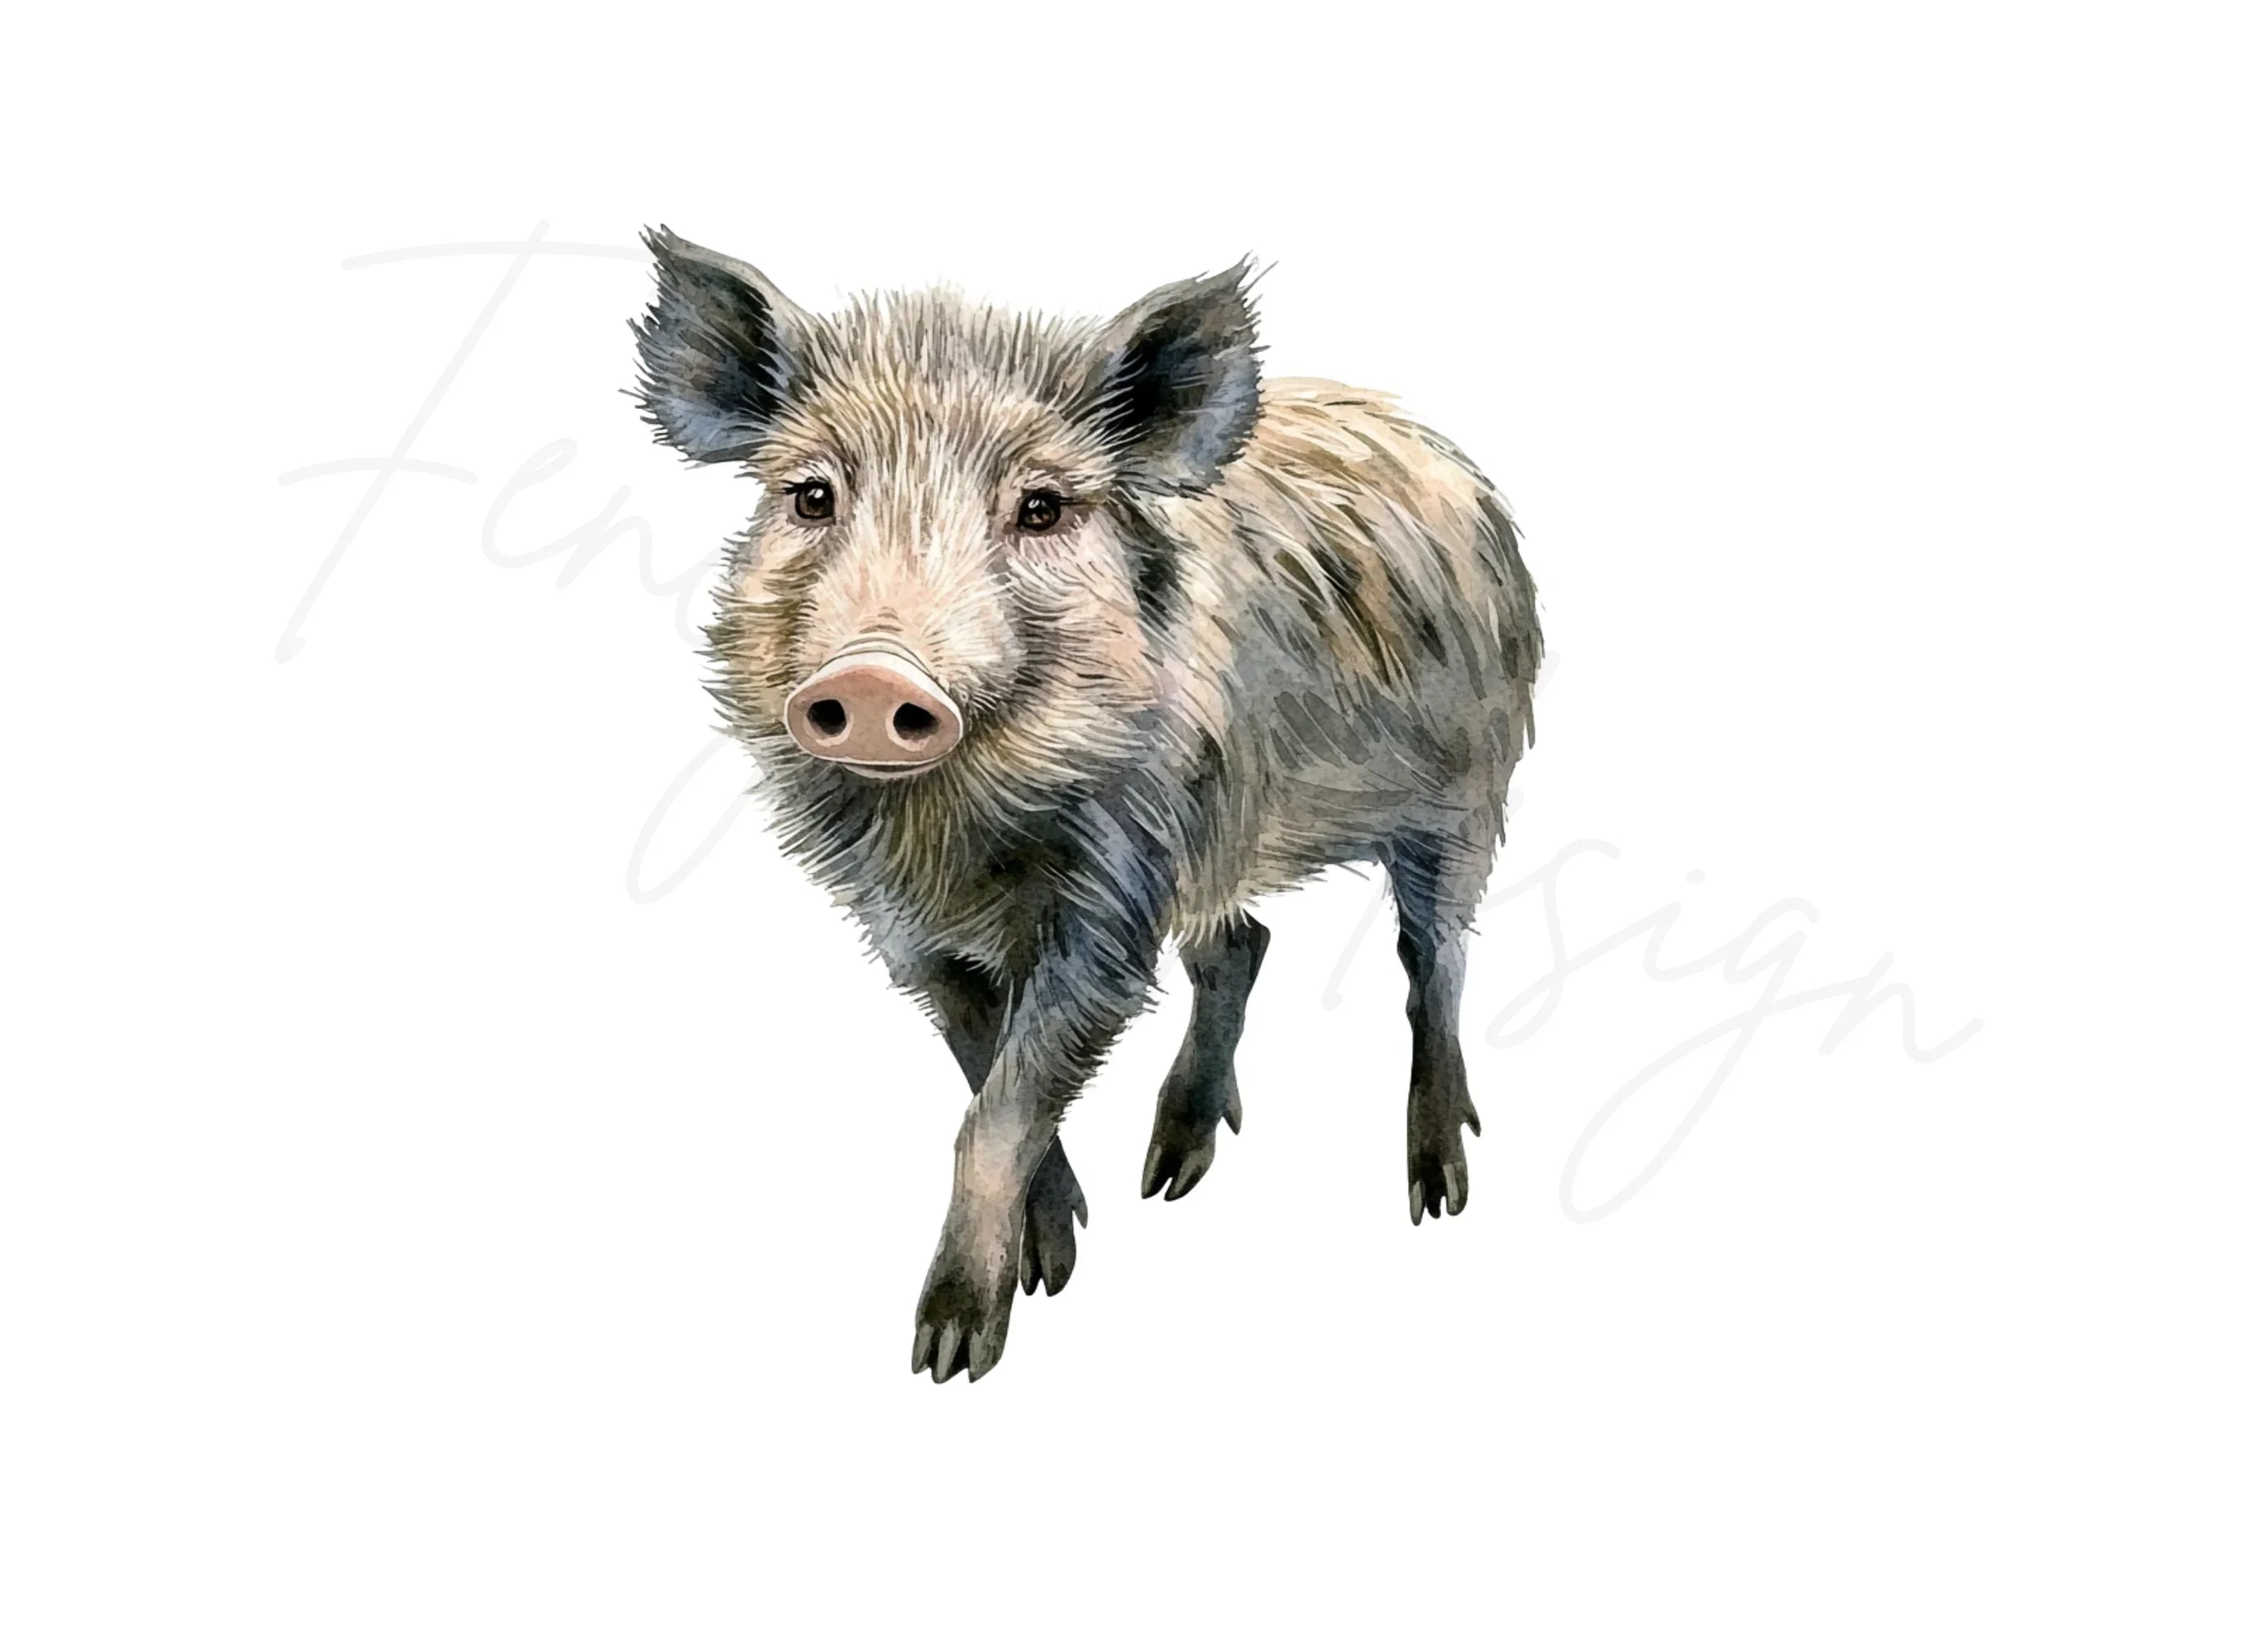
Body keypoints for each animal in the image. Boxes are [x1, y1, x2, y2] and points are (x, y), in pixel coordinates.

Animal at [631, 228, 1542, 1382]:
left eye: (1041, 508)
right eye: (811, 494)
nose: (877, 676)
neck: (951, 831)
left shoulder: (1112, 897)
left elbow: (1002, 1105)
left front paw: (951, 1351)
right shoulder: (903, 925)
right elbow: (982, 1067)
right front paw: (1054, 1256)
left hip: (1469, 787)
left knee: (1433, 959)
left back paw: (1435, 1188)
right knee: (1241, 942)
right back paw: (1171, 1171)